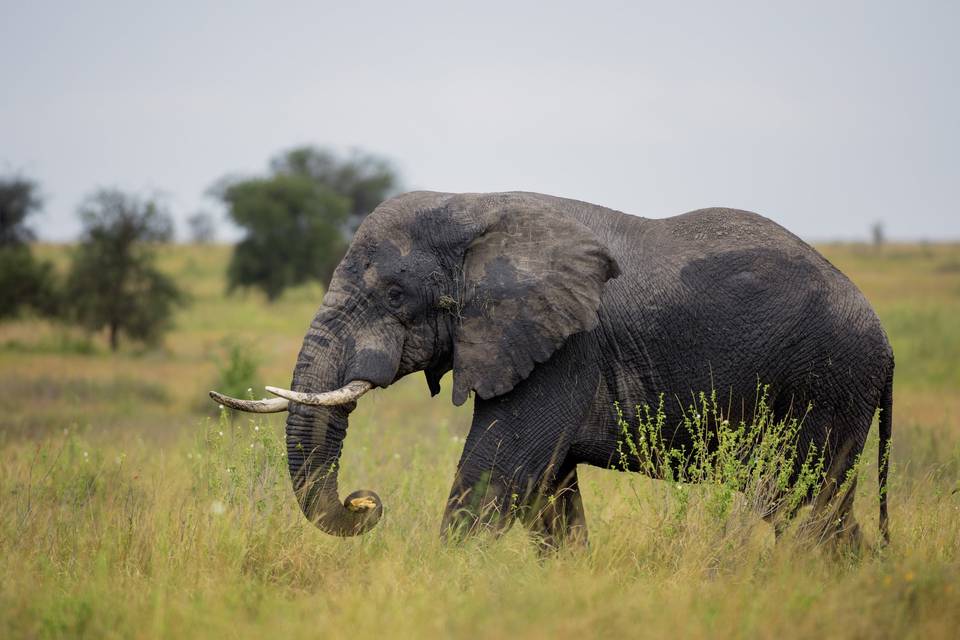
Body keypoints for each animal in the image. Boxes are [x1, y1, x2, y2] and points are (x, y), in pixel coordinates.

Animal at [211, 191, 894, 550]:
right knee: (826, 514)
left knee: (798, 502)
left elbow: (495, 476)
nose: (364, 502)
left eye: (395, 296)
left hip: (826, 382)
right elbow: (550, 495)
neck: (473, 208)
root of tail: (885, 342)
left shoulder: (566, 347)